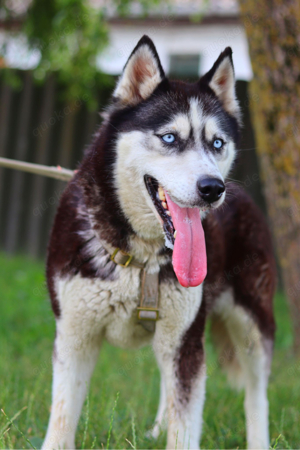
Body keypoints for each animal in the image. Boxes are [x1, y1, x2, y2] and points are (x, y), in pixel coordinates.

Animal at [43, 36, 276, 450]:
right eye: (170, 138)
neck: (139, 260)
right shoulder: (74, 336)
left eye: (217, 143)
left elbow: (187, 425)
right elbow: (62, 419)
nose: (213, 188)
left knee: (256, 393)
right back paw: (157, 428)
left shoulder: (186, 340)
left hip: (252, 323)